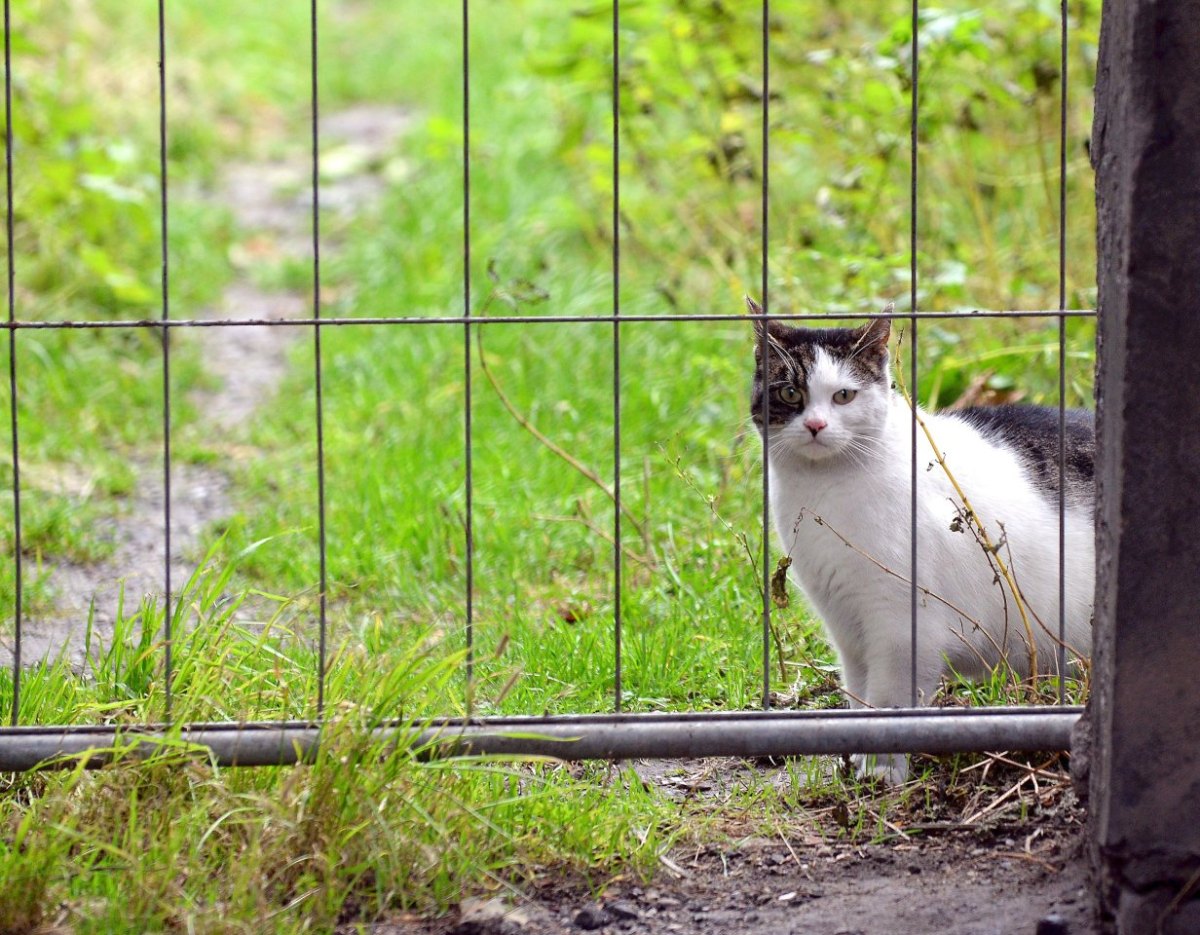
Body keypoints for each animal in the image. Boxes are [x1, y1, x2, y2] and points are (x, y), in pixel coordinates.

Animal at [748, 300, 1099, 782]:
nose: (816, 425)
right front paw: (853, 762)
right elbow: (859, 693)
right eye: (788, 394)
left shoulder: (902, 627)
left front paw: (880, 772)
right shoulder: (845, 624)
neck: (824, 489)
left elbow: (888, 702)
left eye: (843, 396)